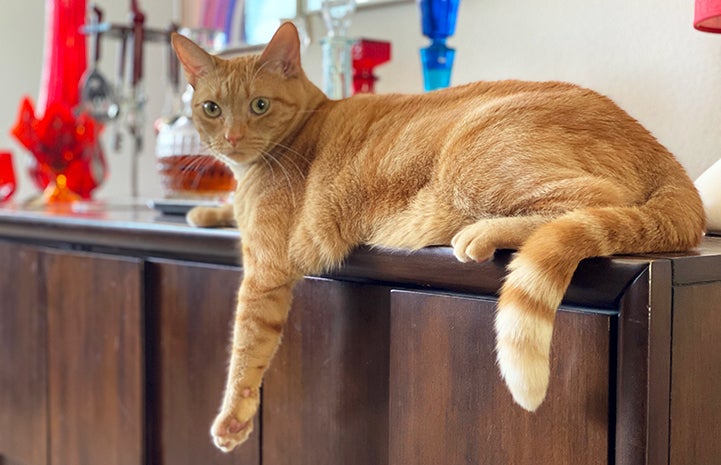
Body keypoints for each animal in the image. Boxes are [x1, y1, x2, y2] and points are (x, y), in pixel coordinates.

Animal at [170, 22, 704, 454]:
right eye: (211, 109)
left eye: (259, 105)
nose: (231, 138)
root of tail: (663, 154)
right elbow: (226, 212)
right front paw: (203, 210)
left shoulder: (264, 270)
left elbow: (245, 349)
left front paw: (231, 419)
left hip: (478, 161)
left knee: (592, 199)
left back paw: (480, 234)